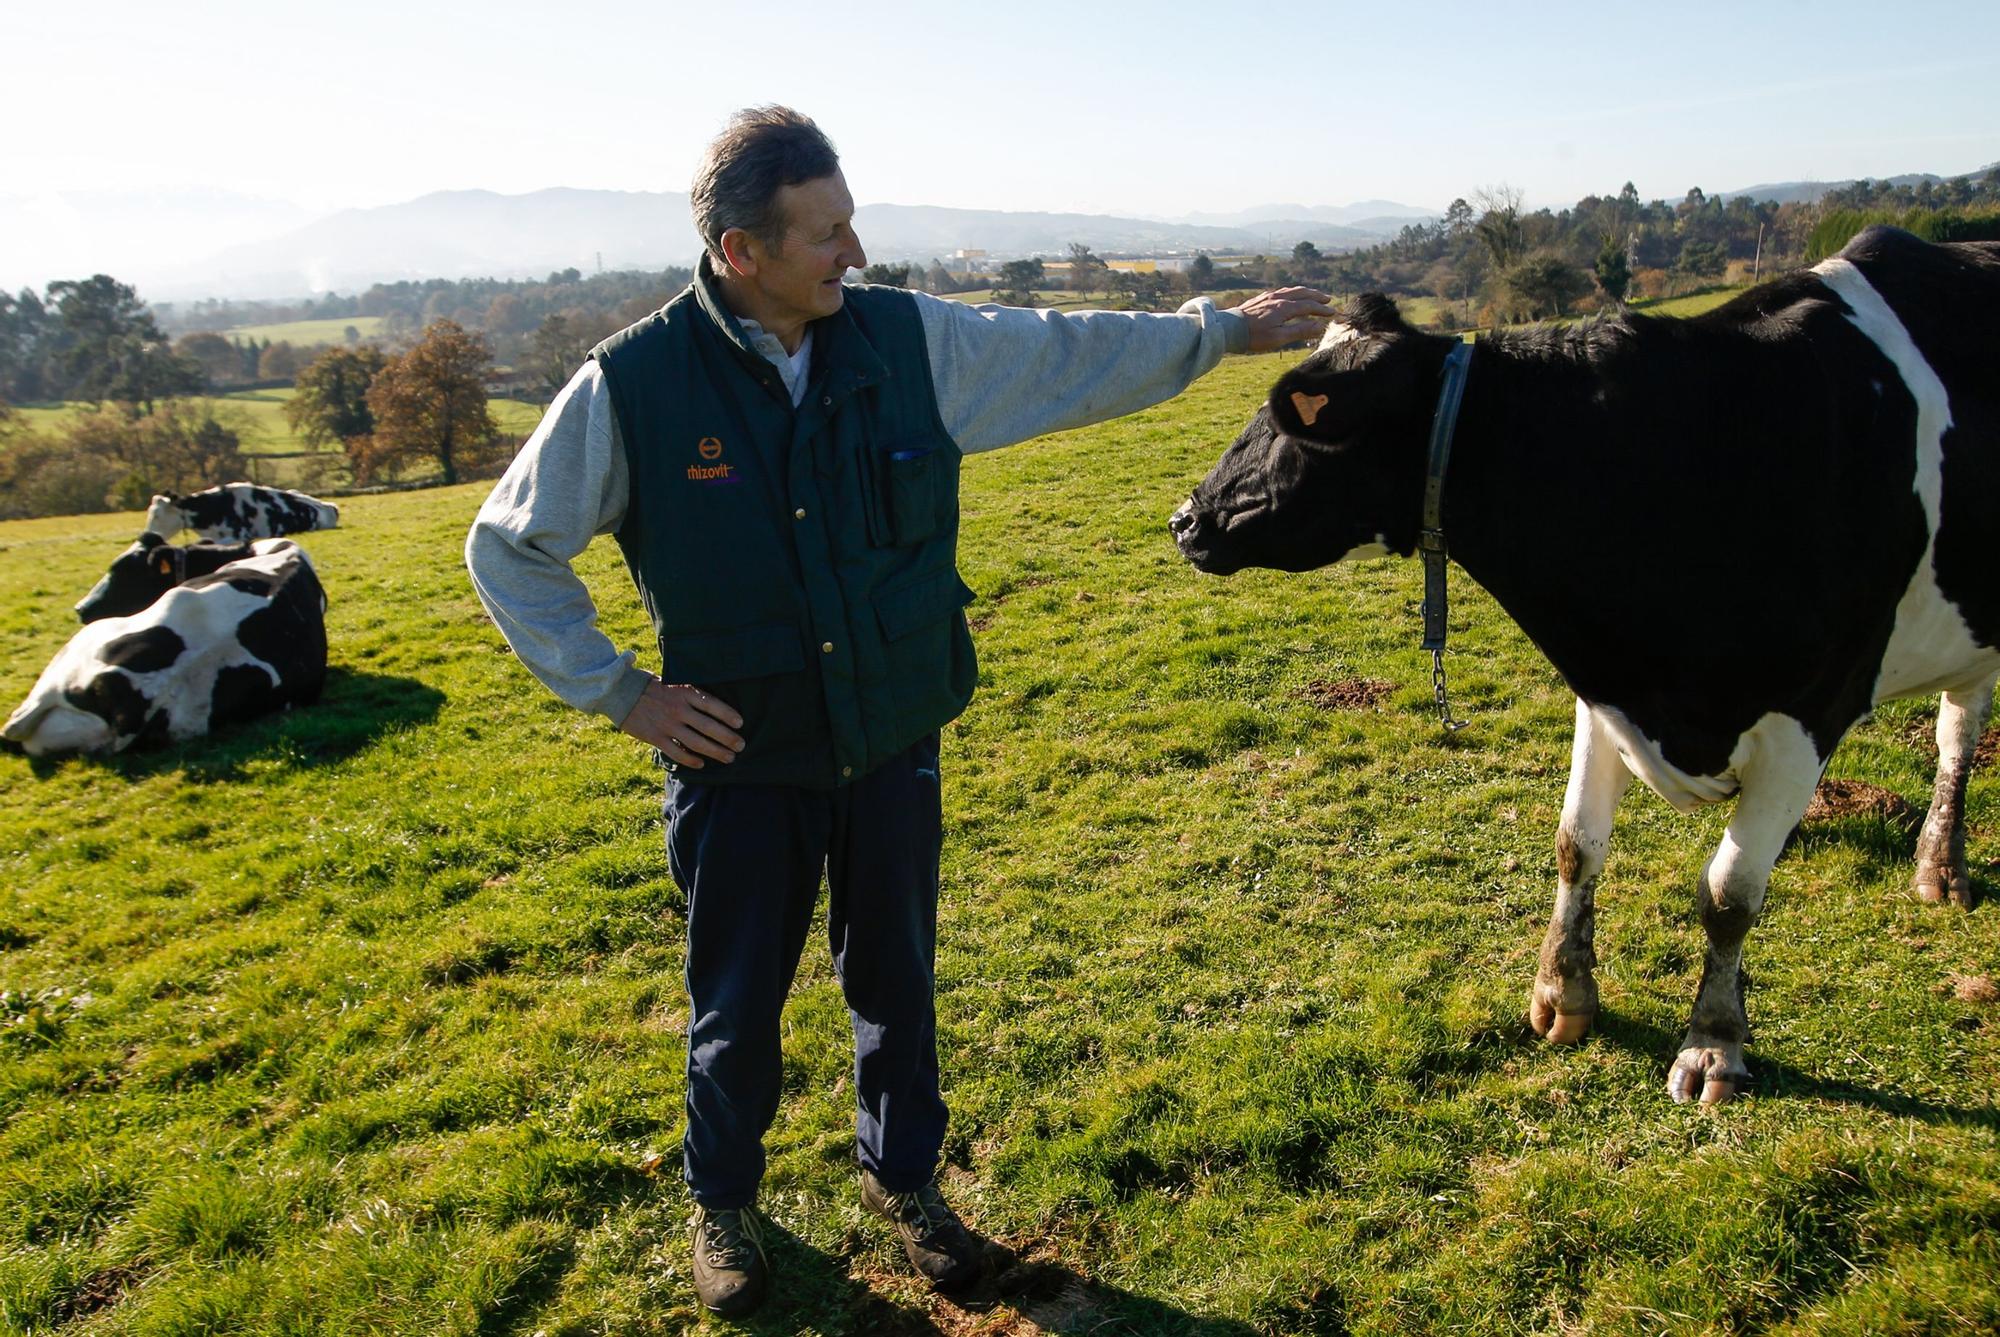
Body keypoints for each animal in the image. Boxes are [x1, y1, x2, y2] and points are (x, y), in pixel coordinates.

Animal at [1168, 227, 2000, 1104]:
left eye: (1295, 419)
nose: (1184, 519)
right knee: (1959, 727)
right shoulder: (1605, 688)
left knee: (1955, 741)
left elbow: (1729, 893)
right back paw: (1940, 865)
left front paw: (1713, 1042)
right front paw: (1561, 992)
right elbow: (1577, 841)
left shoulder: (1808, 711)